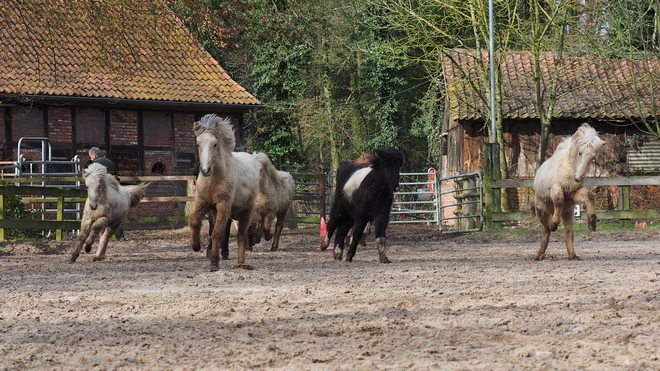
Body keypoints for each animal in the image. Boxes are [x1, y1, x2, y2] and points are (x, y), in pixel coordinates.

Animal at [188, 113, 260, 270]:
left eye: (215, 144)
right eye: (198, 144)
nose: (205, 170)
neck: (213, 181)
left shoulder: (223, 205)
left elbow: (217, 234)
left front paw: (214, 263)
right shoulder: (203, 202)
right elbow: (195, 221)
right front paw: (196, 246)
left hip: (246, 211)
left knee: (241, 235)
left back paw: (241, 263)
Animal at [532, 123, 608, 260]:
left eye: (593, 157)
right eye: (580, 152)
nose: (578, 178)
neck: (569, 168)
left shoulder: (573, 195)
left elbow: (589, 196)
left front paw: (592, 224)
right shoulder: (556, 189)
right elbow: (558, 200)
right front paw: (554, 224)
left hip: (568, 214)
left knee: (568, 233)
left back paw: (573, 255)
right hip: (541, 211)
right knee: (546, 231)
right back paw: (540, 254)